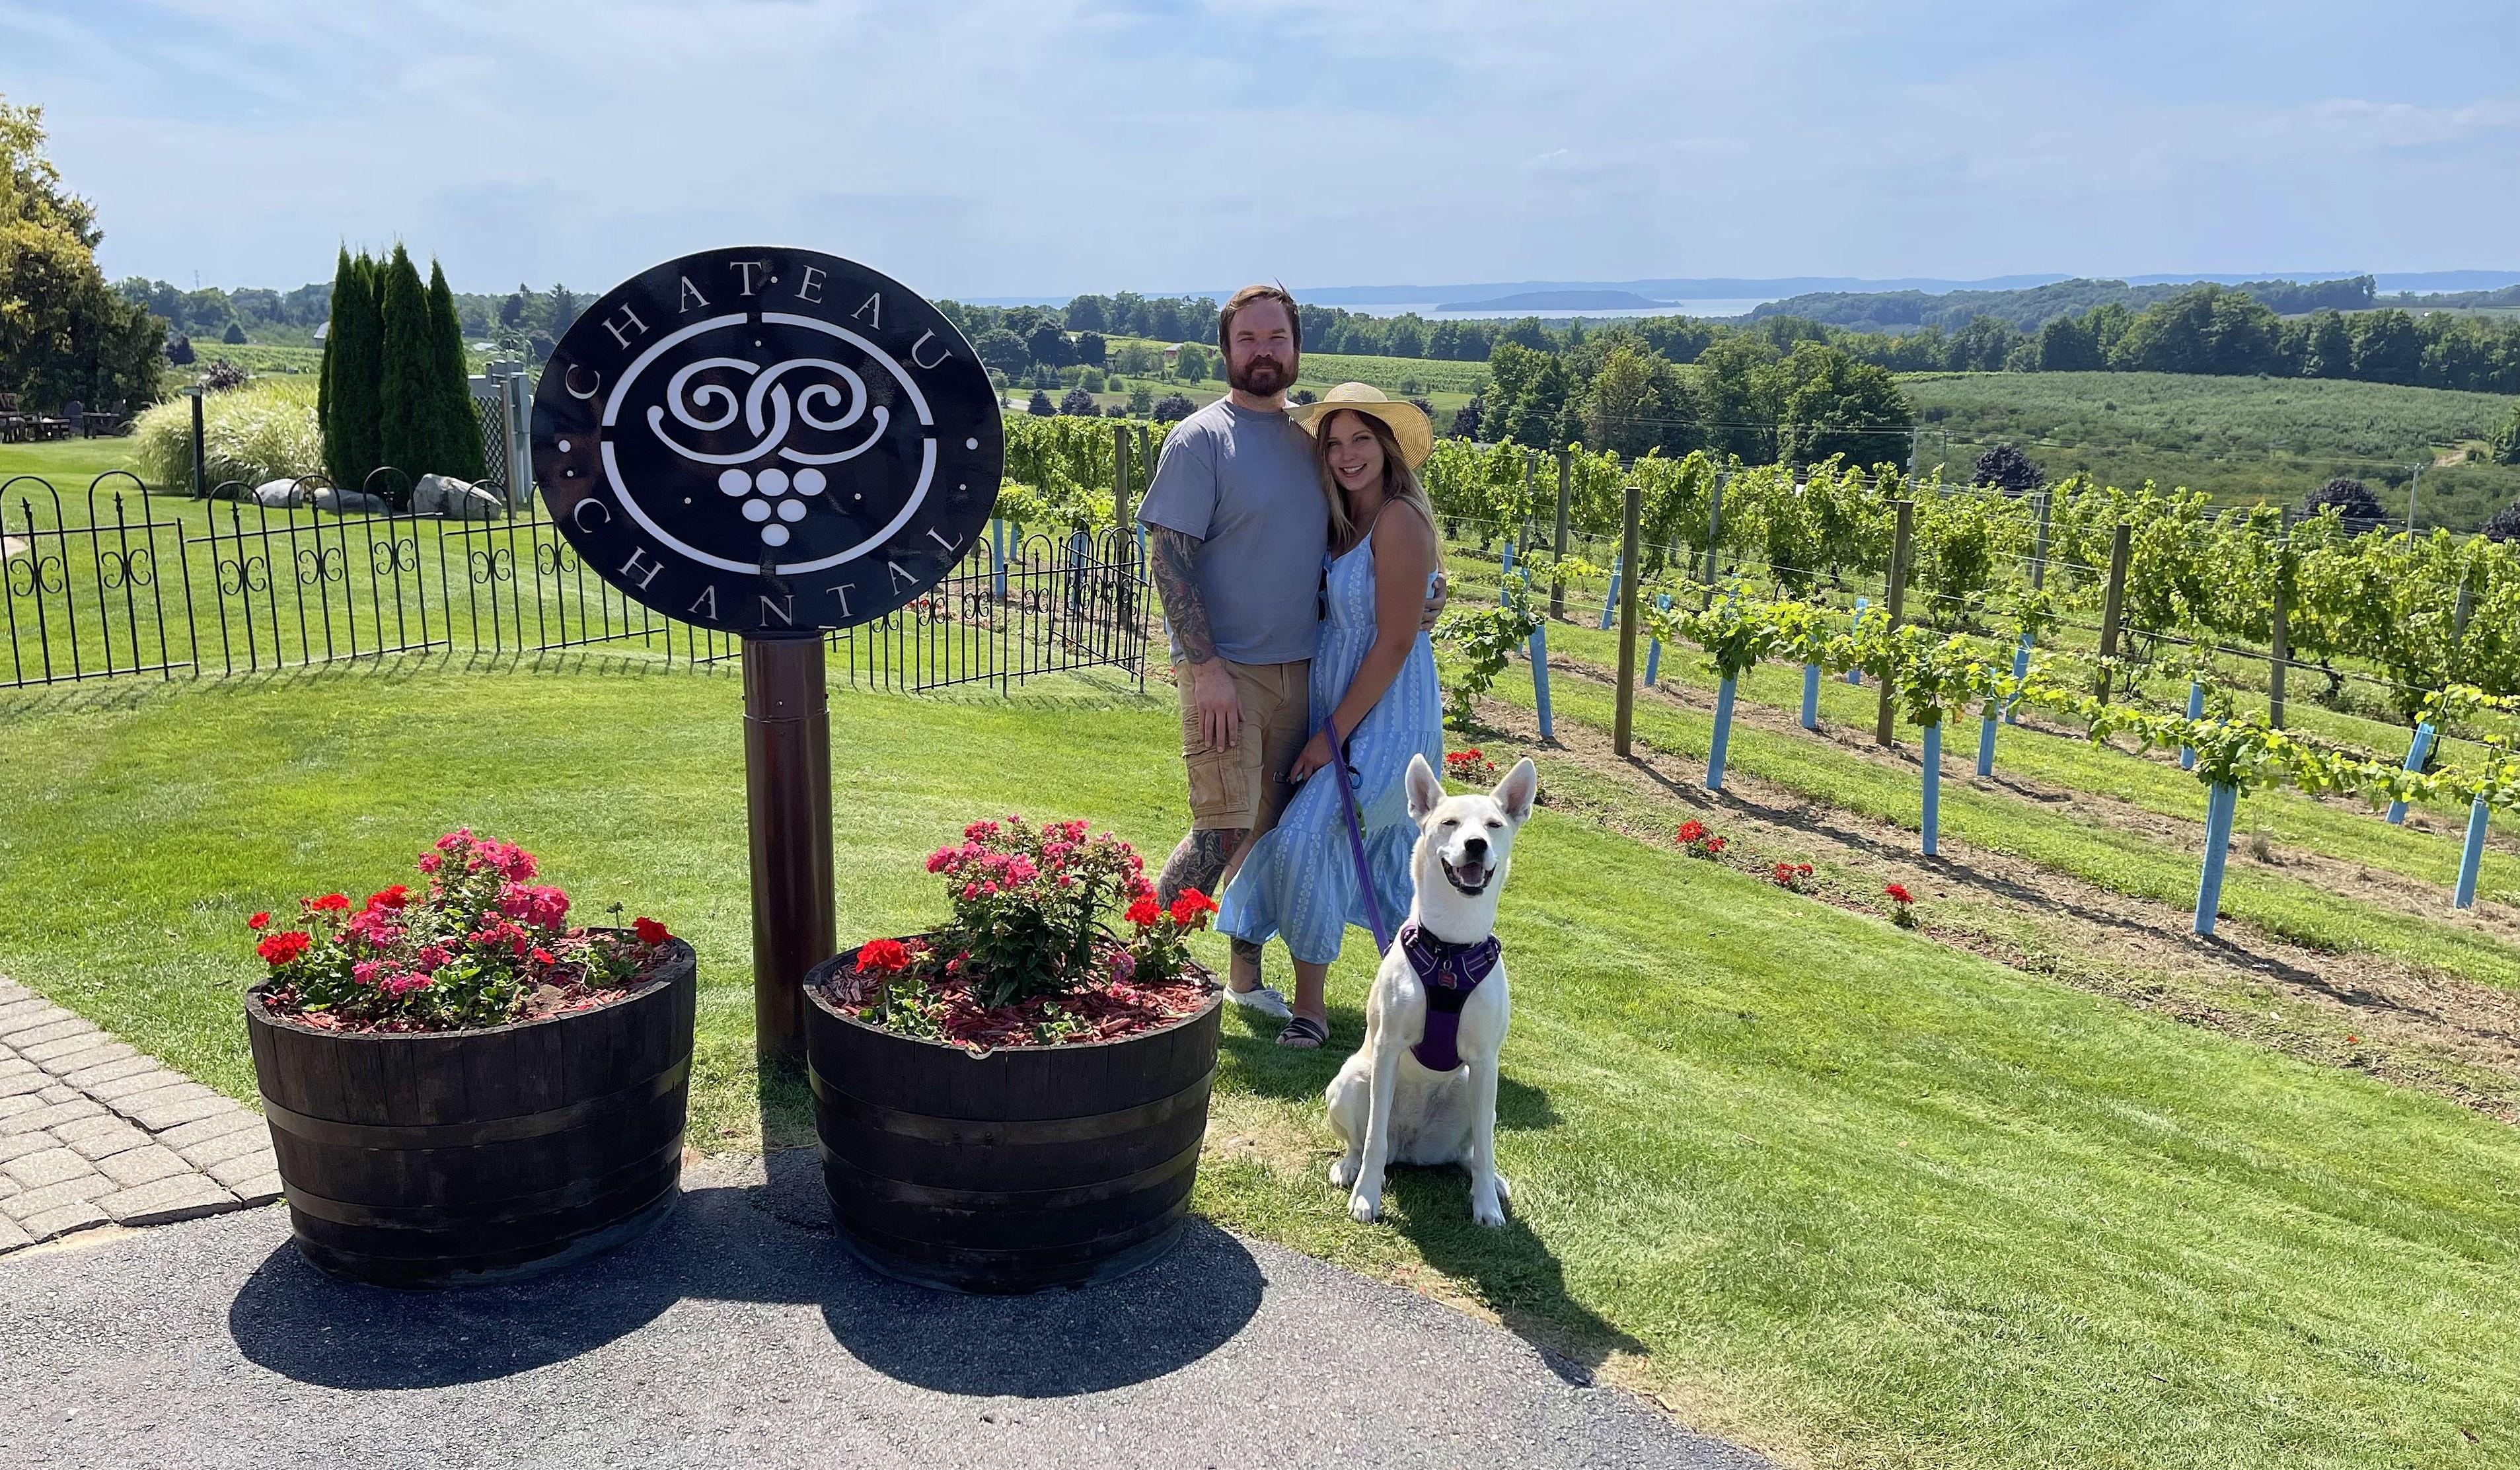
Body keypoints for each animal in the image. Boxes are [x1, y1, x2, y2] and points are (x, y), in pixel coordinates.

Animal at [1326, 751, 1537, 1227]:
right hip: (1350, 1080)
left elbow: (1487, 1149)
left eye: (1494, 824)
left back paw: (1489, 1181)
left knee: (1472, 1149)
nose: (1476, 844)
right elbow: (1373, 1140)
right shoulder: (1387, 1047)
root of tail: (1412, 1146)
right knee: (1364, 1139)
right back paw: (1350, 1167)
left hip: (1476, 1092)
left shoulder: (1485, 1060)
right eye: (1449, 822)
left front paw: (1486, 1207)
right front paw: (1366, 1196)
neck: (1451, 948)